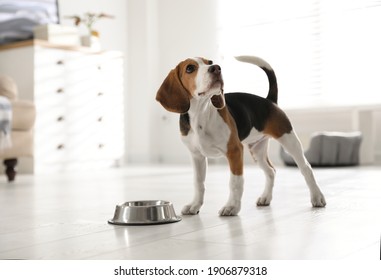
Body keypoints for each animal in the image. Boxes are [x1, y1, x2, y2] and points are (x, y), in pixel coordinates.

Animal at [156, 55, 326, 215]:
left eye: (209, 62)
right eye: (190, 68)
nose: (216, 68)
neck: (201, 114)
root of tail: (269, 101)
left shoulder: (235, 151)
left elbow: (235, 182)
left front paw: (232, 207)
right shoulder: (197, 156)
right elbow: (198, 183)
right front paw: (194, 205)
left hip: (288, 139)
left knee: (306, 168)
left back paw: (317, 197)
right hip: (257, 150)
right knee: (271, 171)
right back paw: (266, 197)